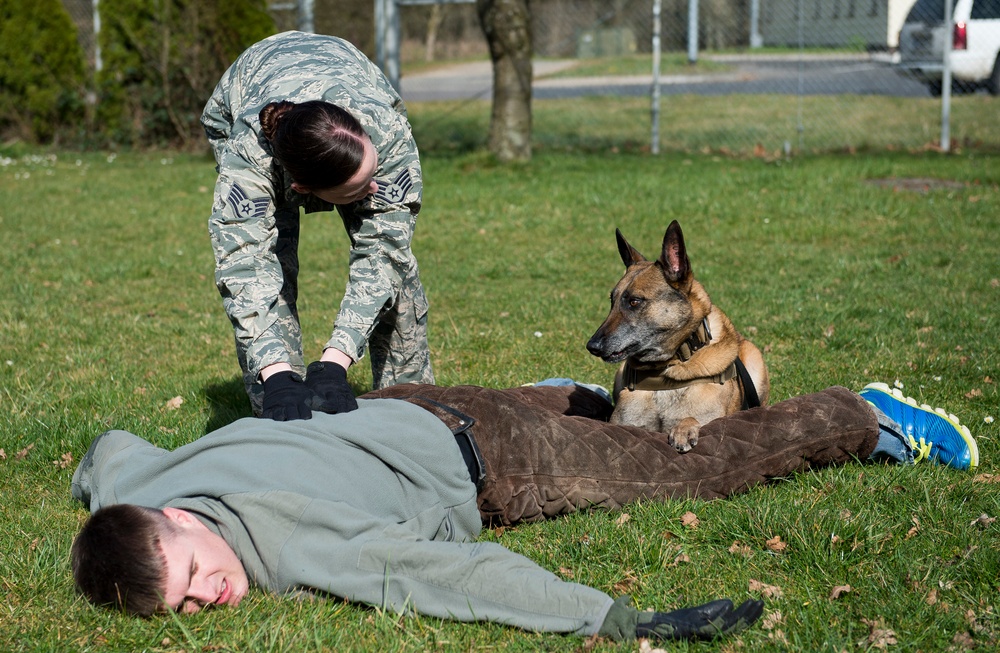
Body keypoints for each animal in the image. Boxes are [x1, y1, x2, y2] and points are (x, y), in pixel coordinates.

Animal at [584, 222, 764, 450]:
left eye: (634, 301)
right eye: (612, 301)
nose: (592, 346)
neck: (667, 368)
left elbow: (694, 418)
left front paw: (684, 428)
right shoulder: (624, 422)